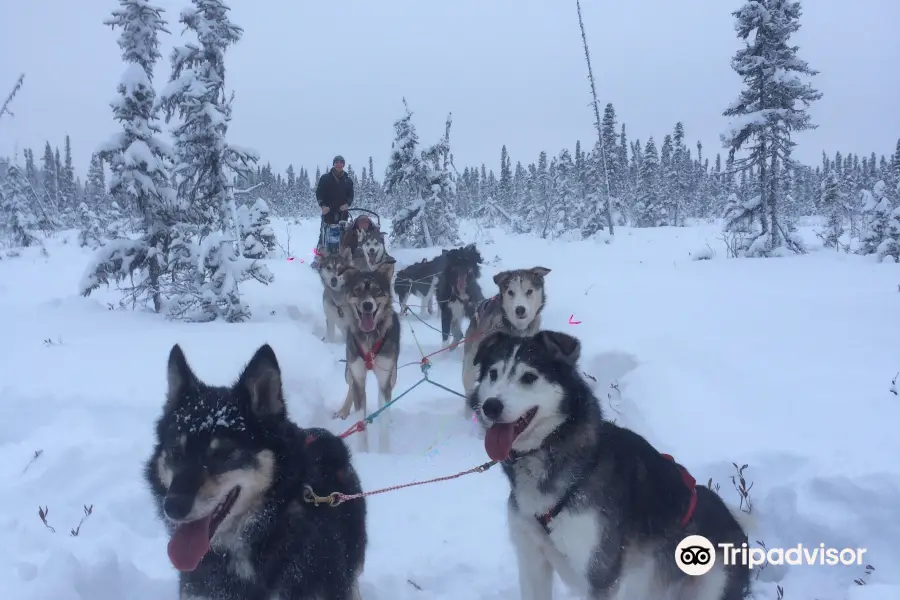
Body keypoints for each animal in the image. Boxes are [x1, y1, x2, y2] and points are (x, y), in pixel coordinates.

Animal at [332, 260, 400, 452]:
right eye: (357, 290)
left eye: (376, 290)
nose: (368, 305)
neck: (370, 337)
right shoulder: (358, 376)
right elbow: (360, 421)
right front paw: (364, 452)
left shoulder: (385, 378)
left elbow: (383, 414)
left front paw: (384, 453)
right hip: (349, 372)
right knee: (351, 388)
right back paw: (344, 410)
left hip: (392, 375)